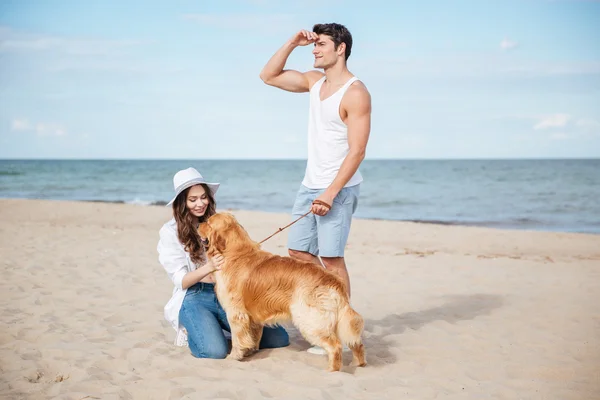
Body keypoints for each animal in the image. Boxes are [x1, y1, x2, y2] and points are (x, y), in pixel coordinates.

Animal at [198, 212, 366, 372]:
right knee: (356, 342)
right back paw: (357, 363)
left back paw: (332, 370)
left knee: (335, 346)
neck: (234, 251)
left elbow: (238, 338)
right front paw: (249, 351)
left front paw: (234, 356)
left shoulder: (236, 313)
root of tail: (334, 281)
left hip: (309, 319)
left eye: (208, 222)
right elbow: (253, 335)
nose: (198, 224)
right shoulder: (251, 316)